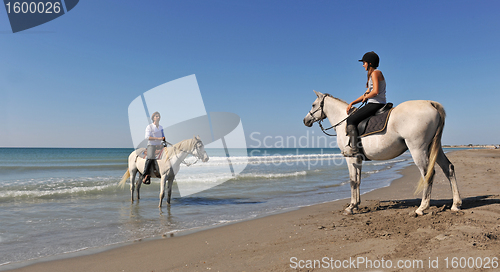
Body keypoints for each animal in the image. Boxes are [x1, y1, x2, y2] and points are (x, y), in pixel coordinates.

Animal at [300, 90, 460, 216]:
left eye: (313, 105)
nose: (305, 120)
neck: (343, 121)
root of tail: (430, 103)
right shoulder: (358, 159)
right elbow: (358, 181)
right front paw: (356, 205)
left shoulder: (350, 157)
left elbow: (352, 181)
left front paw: (350, 207)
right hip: (434, 147)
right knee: (449, 169)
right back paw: (456, 204)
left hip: (418, 149)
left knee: (428, 174)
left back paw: (422, 208)